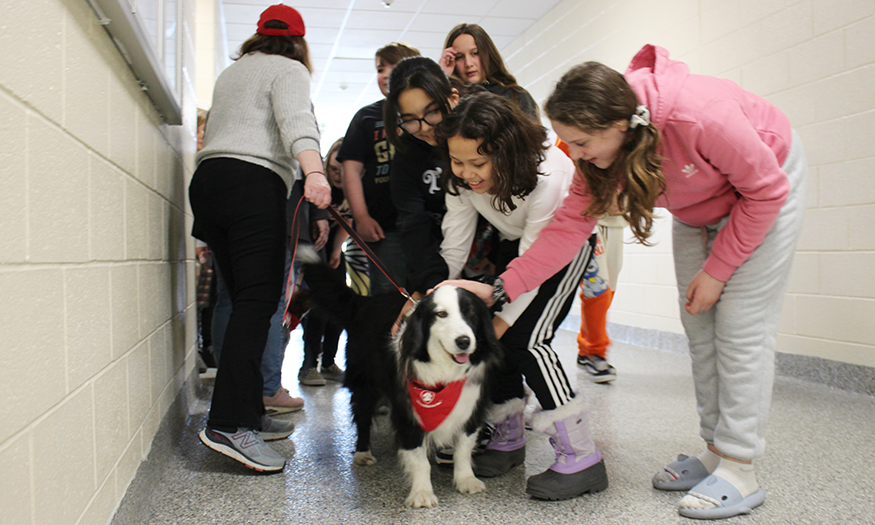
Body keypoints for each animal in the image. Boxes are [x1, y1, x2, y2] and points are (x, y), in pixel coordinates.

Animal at [302, 256, 504, 506]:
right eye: (441, 314)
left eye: (472, 313)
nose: (464, 341)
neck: (444, 373)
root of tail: (364, 302)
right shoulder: (407, 408)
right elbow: (418, 457)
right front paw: (422, 493)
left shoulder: (472, 402)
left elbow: (464, 447)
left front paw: (466, 479)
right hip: (365, 381)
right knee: (362, 416)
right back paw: (362, 452)